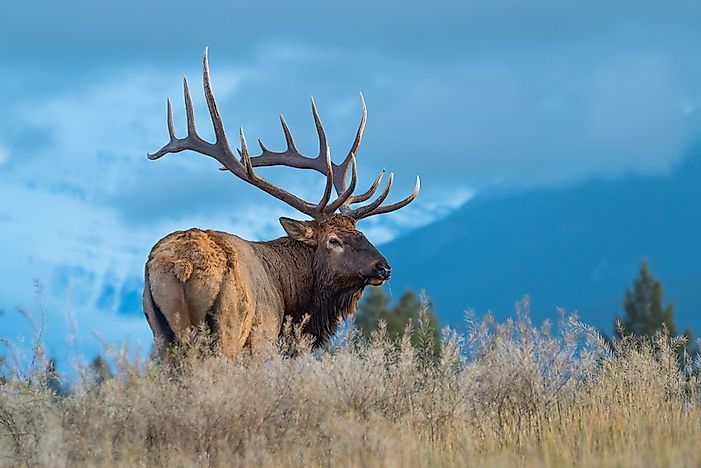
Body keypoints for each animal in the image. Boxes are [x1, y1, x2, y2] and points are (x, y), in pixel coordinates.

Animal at [140, 50, 418, 358]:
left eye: (361, 233)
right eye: (333, 240)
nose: (383, 267)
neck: (292, 300)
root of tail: (183, 266)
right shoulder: (263, 339)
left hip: (160, 331)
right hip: (229, 327)